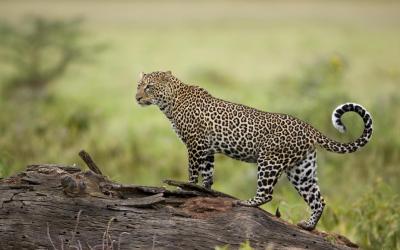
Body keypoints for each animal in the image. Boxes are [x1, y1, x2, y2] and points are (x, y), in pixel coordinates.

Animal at [134, 70, 372, 230]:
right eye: (138, 85)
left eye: (149, 87)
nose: (137, 98)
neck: (170, 102)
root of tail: (309, 127)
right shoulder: (207, 149)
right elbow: (208, 173)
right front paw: (204, 190)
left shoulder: (195, 144)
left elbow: (193, 171)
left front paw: (186, 188)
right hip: (302, 170)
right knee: (318, 200)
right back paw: (308, 226)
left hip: (269, 160)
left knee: (267, 193)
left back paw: (246, 202)